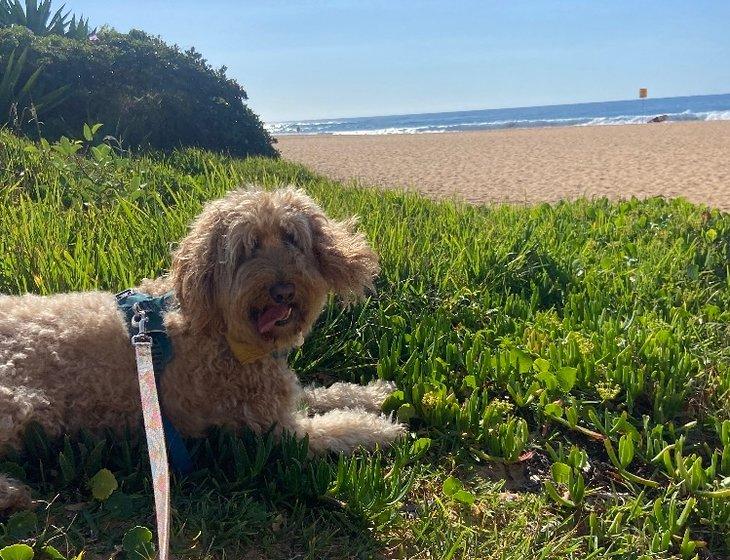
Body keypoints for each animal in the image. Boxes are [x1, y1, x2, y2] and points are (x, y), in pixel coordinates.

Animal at [0, 188, 400, 512]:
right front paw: (383, 429)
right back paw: (12, 493)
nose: (283, 290)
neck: (224, 333)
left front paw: (375, 394)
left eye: (292, 239)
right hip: (22, 404)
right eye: (247, 249)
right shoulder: (278, 432)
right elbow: (339, 428)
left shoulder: (281, 397)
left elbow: (327, 394)